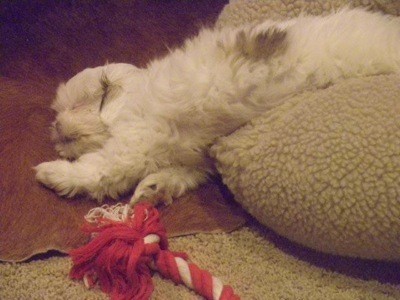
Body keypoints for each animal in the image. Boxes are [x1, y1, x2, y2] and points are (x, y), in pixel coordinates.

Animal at [35, 9, 400, 206]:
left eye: (76, 105)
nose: (53, 128)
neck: (131, 98)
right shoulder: (191, 157)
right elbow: (181, 174)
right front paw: (154, 190)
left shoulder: (134, 141)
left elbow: (98, 170)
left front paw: (54, 172)